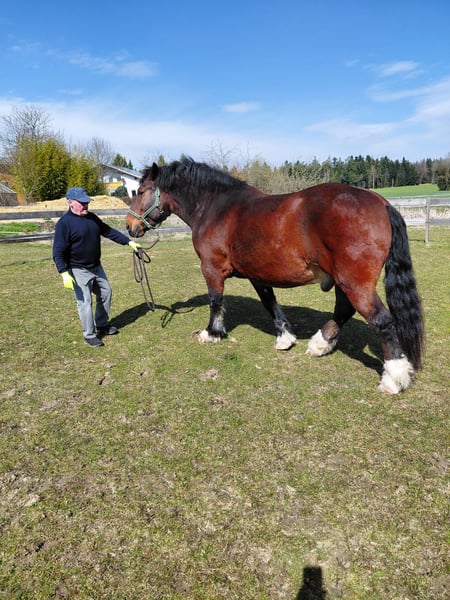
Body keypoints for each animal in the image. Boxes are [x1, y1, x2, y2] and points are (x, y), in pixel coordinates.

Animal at [126, 158, 424, 394]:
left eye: (139, 191)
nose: (130, 227)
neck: (216, 208)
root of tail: (382, 203)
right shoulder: (257, 273)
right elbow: (269, 303)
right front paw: (285, 337)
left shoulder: (211, 269)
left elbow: (215, 301)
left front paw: (212, 333)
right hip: (344, 280)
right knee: (344, 309)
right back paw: (320, 344)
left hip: (354, 282)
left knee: (381, 321)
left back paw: (393, 378)